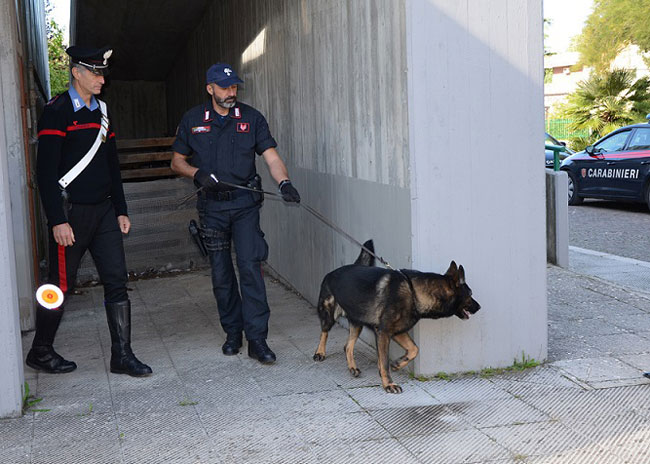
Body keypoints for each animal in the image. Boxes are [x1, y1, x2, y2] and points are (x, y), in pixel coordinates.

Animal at [312, 241, 478, 394]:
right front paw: (389, 384)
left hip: (357, 324)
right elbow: (385, 361)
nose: (479, 307)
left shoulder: (397, 332)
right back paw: (320, 353)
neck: (414, 293)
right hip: (329, 314)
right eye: (470, 294)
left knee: (347, 346)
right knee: (324, 332)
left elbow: (413, 349)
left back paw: (352, 367)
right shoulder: (384, 333)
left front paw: (398, 364)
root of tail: (332, 272)